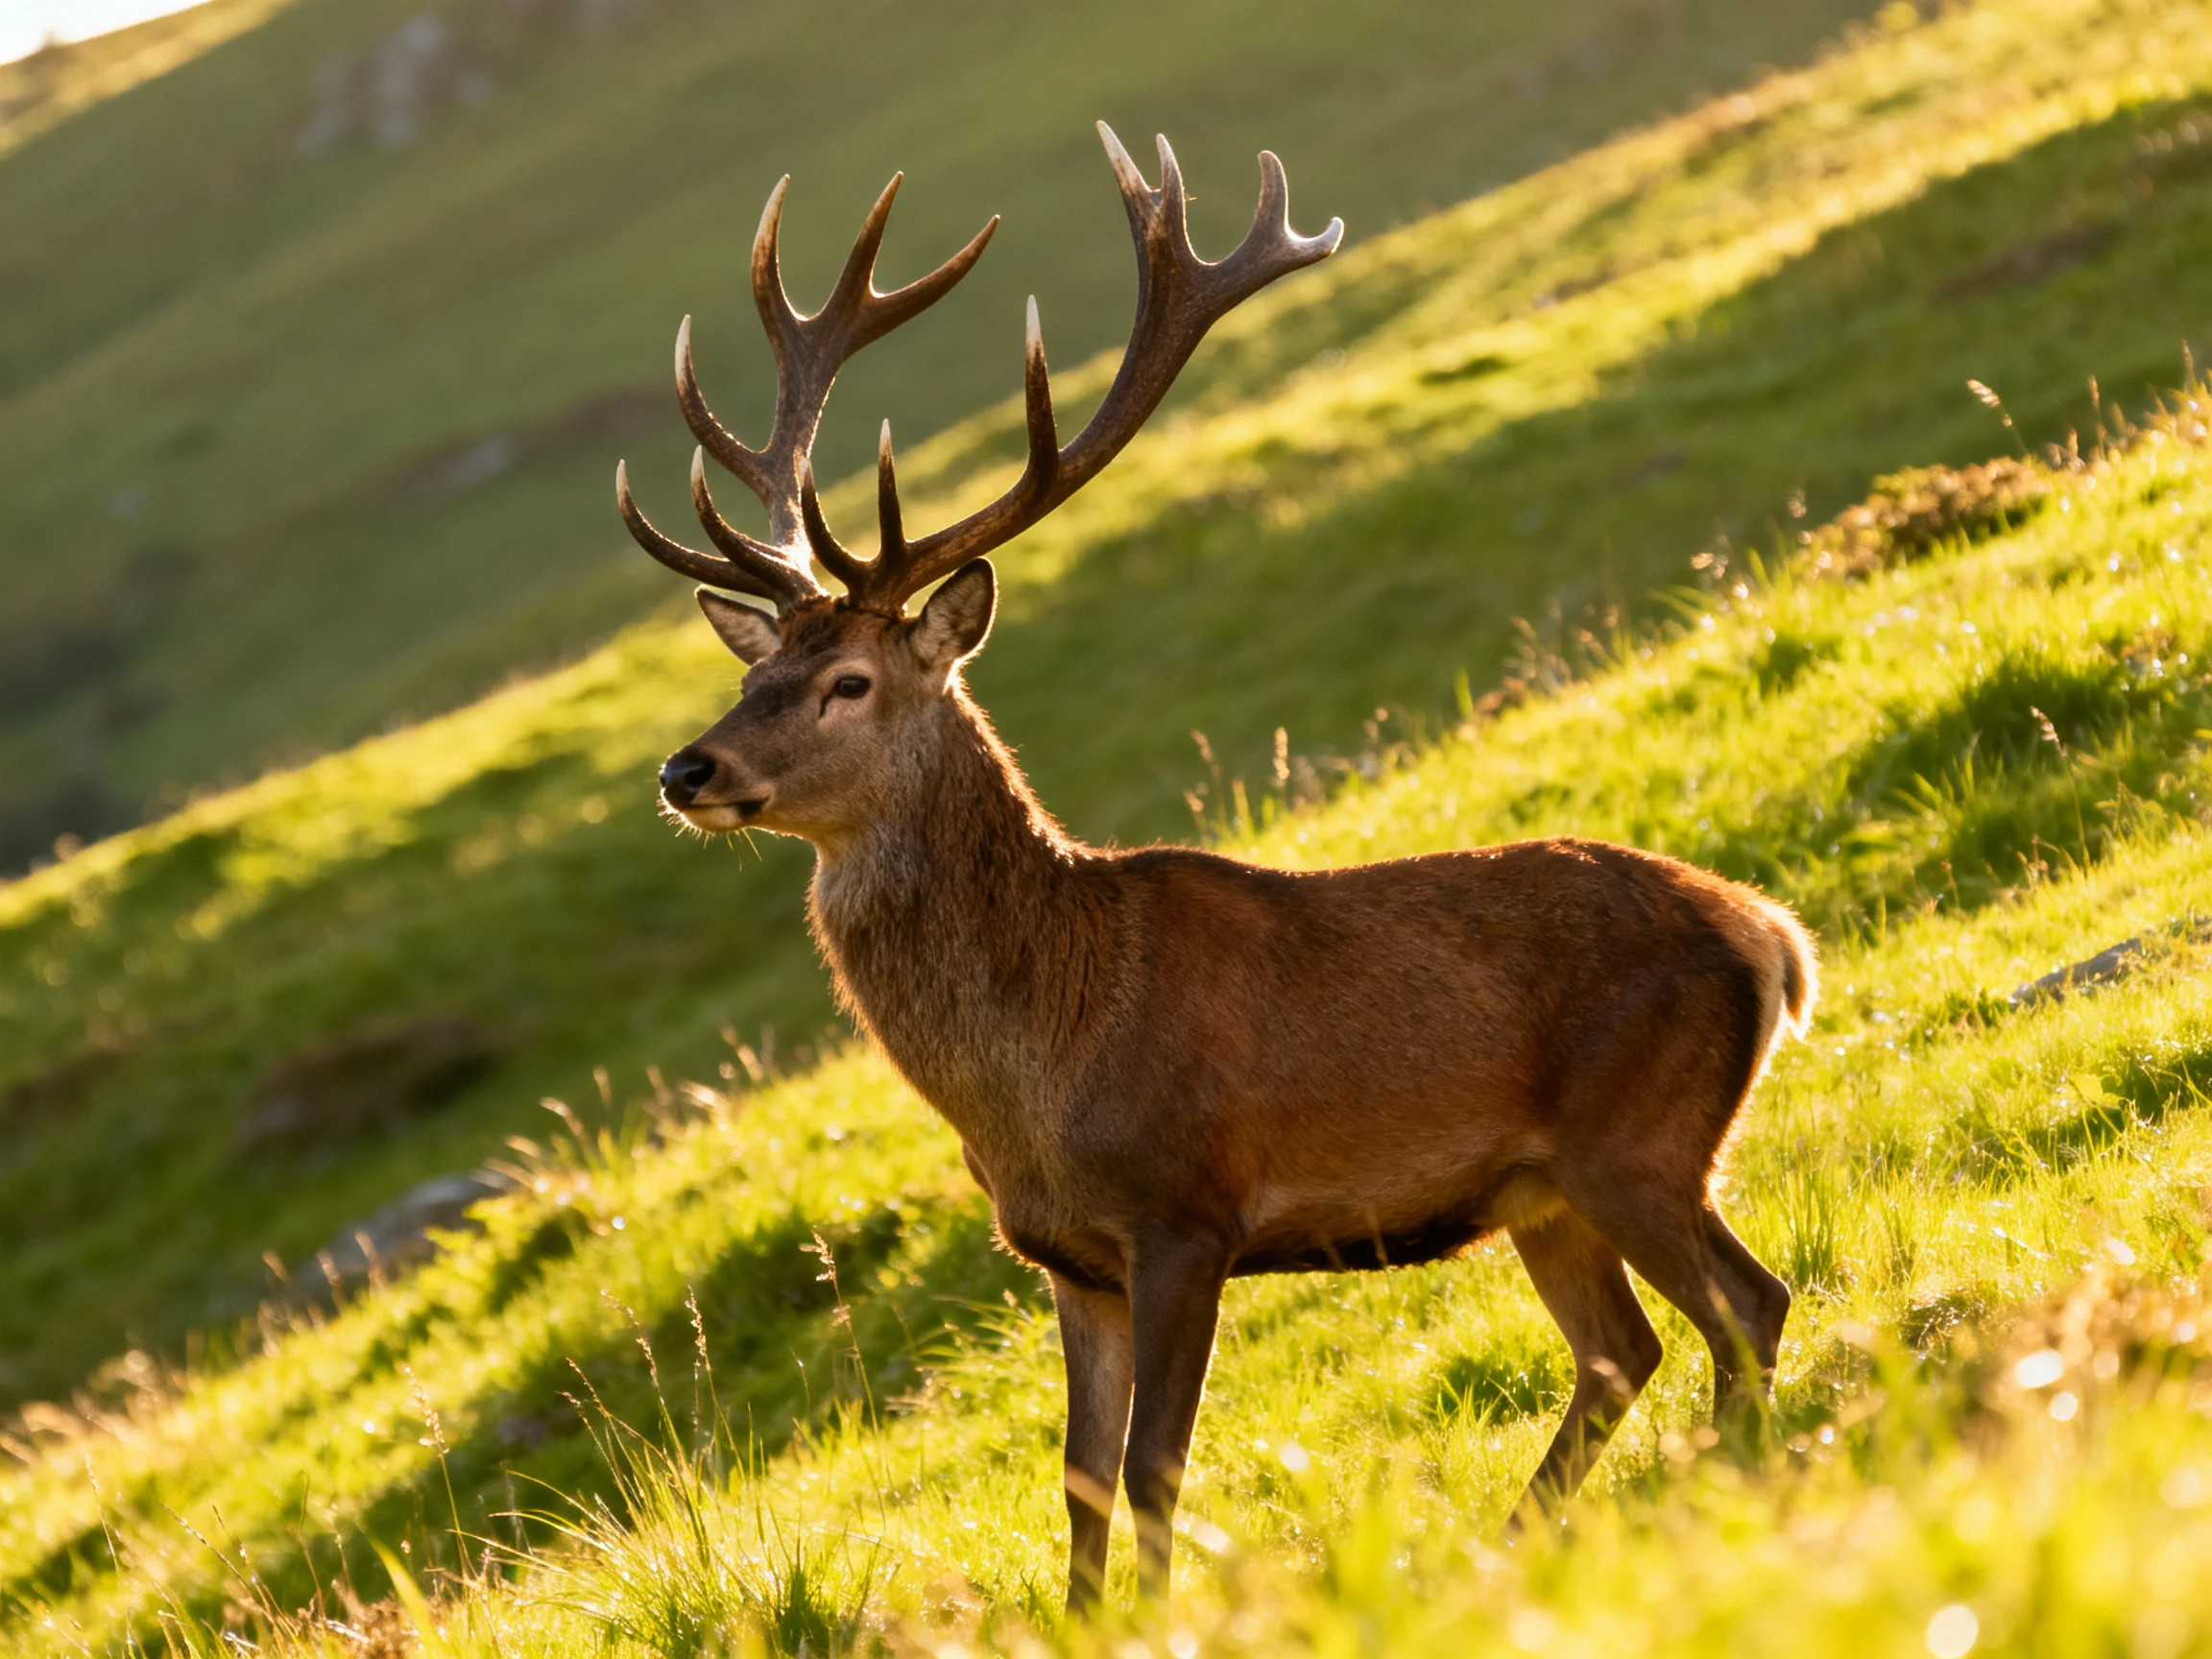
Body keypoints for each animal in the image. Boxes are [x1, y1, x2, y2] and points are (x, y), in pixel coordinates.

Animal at [615, 123, 1817, 1613]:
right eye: (752, 673)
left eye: (846, 681)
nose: (688, 770)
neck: (1042, 1068)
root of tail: (1771, 937)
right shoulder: (1066, 1257)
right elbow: (1076, 1477)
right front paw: (1084, 1626)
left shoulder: (1189, 1209)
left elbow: (1154, 1465)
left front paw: (1164, 1619)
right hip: (1544, 1189)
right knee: (1625, 1348)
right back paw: (1520, 1538)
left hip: (1638, 1137)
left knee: (1745, 1305)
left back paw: (1730, 1485)